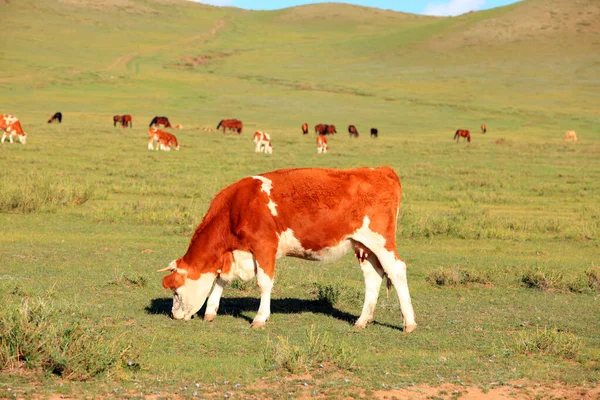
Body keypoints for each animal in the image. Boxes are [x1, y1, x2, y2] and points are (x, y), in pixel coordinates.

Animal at [159, 167, 418, 332]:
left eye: (176, 291)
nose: (173, 315)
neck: (237, 207)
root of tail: (379, 170)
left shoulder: (264, 246)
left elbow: (263, 283)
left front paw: (260, 318)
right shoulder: (235, 253)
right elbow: (222, 279)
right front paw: (211, 311)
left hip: (381, 242)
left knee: (397, 271)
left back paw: (409, 323)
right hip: (364, 247)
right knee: (373, 277)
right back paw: (362, 320)